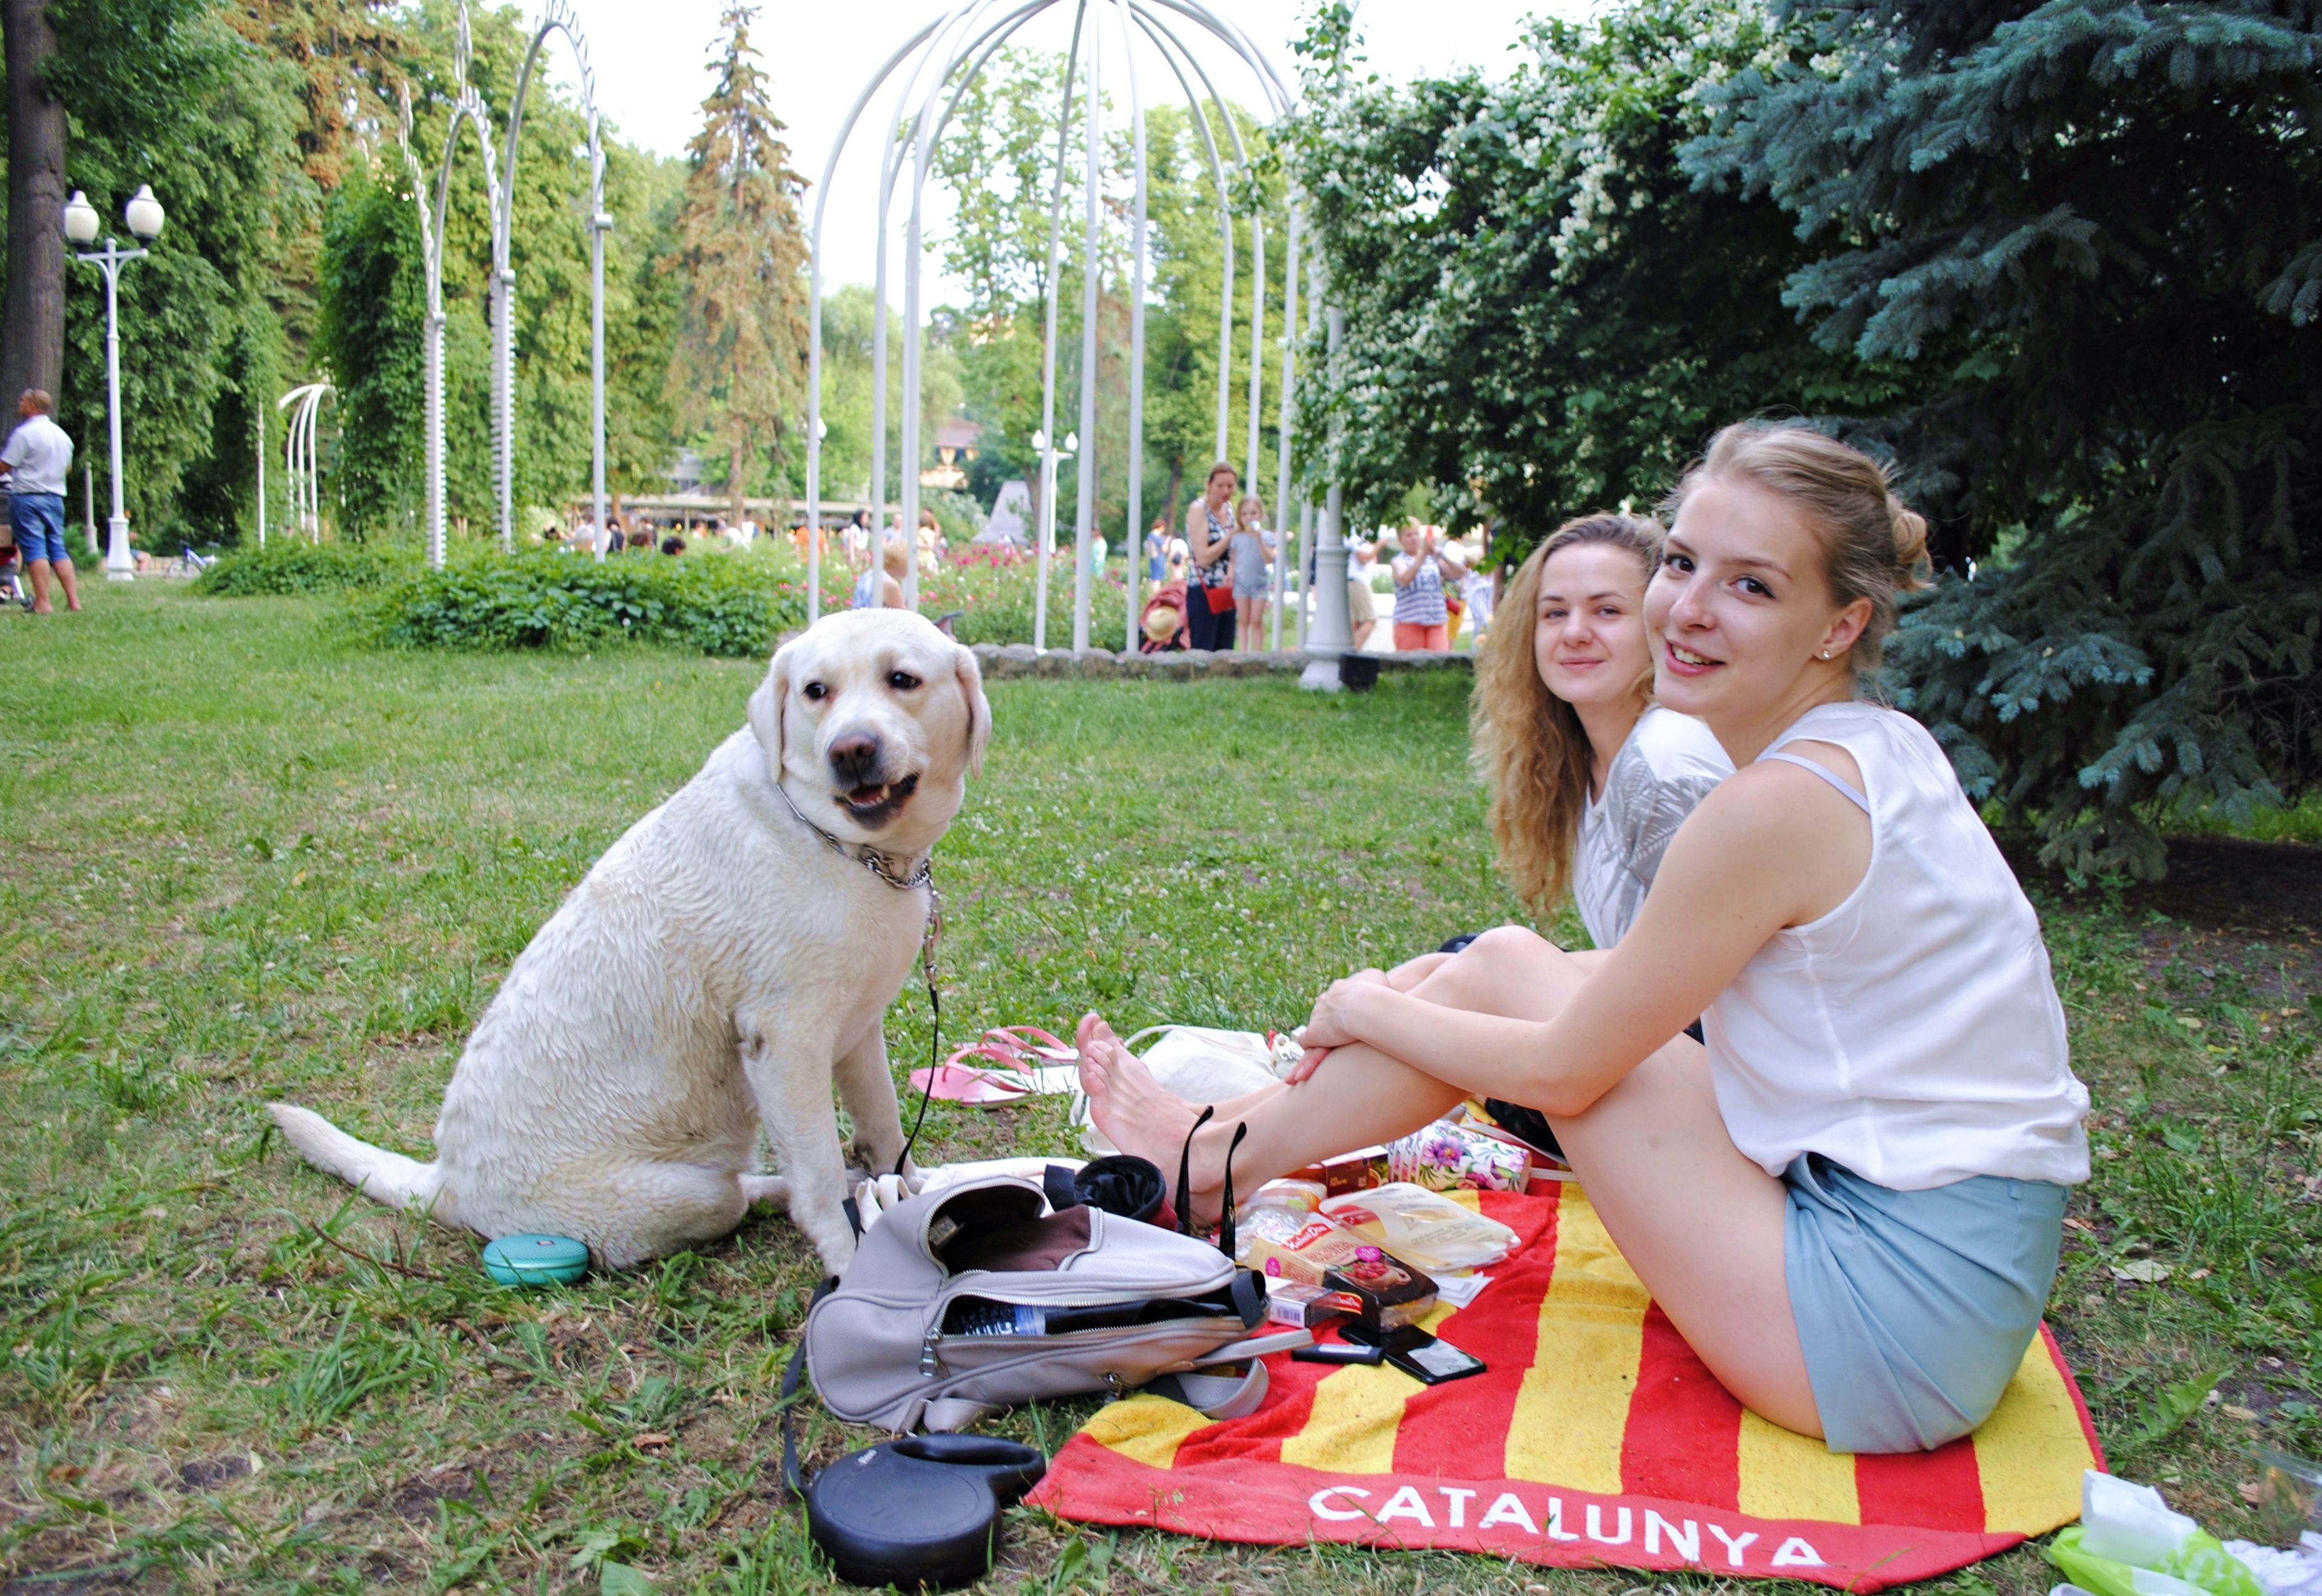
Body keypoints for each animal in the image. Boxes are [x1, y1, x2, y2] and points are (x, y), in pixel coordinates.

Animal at [272, 613, 989, 1273]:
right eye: (817, 691)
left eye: (902, 680)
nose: (850, 750)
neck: (840, 841)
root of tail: (446, 1182)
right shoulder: (784, 1044)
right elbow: (816, 1178)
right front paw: (848, 1258)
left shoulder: (858, 1031)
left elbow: (886, 1129)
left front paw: (911, 1193)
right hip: (683, 1196)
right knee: (743, 1193)